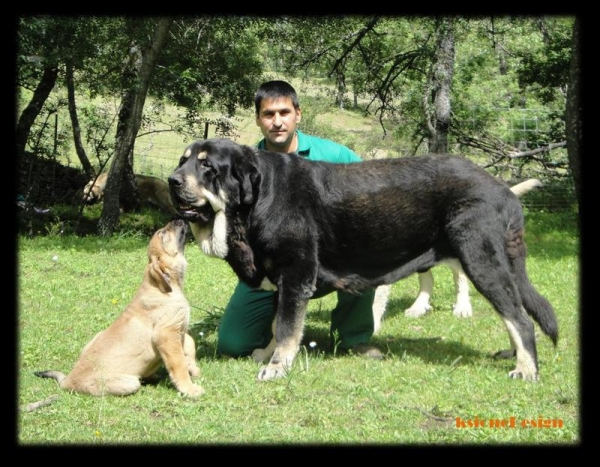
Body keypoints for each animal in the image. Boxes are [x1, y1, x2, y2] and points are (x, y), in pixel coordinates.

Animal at [35, 219, 204, 398]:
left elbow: (189, 344)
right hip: (128, 382)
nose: (179, 219)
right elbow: (178, 364)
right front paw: (190, 388)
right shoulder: (166, 334)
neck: (167, 287)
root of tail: (67, 380)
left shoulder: (178, 330)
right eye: (163, 233)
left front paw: (193, 368)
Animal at [168, 138, 556, 384]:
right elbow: (279, 325)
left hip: (480, 261)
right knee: (514, 312)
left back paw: (526, 369)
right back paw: (514, 356)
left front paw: (277, 367)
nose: (172, 180)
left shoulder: (296, 275)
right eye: (182, 160)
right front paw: (267, 353)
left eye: (206, 166)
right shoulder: (284, 280)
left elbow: (289, 327)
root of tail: (503, 189)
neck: (259, 198)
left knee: (519, 319)